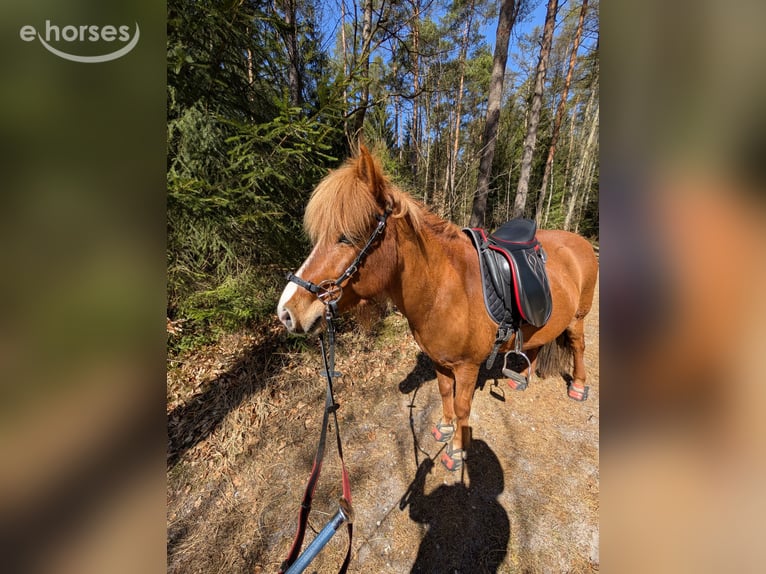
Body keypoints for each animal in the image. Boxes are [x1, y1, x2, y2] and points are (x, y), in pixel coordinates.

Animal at [277, 146, 599, 470]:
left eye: (345, 237)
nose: (286, 313)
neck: (445, 290)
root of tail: (581, 242)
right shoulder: (440, 360)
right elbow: (445, 394)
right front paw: (444, 428)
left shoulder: (468, 367)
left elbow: (462, 406)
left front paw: (456, 449)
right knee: (536, 343)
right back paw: (521, 379)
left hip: (578, 317)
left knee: (578, 346)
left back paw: (578, 386)